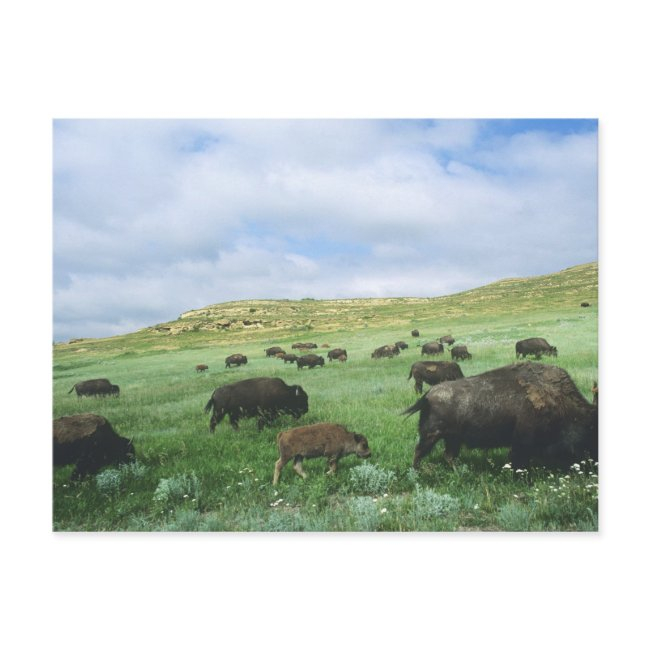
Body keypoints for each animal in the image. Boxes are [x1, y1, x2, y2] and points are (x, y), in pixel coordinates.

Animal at [403, 362, 597, 470]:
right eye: (591, 431)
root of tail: (428, 395)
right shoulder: (521, 442)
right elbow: (518, 460)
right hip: (432, 435)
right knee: (419, 452)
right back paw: (418, 472)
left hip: (452, 438)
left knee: (447, 455)